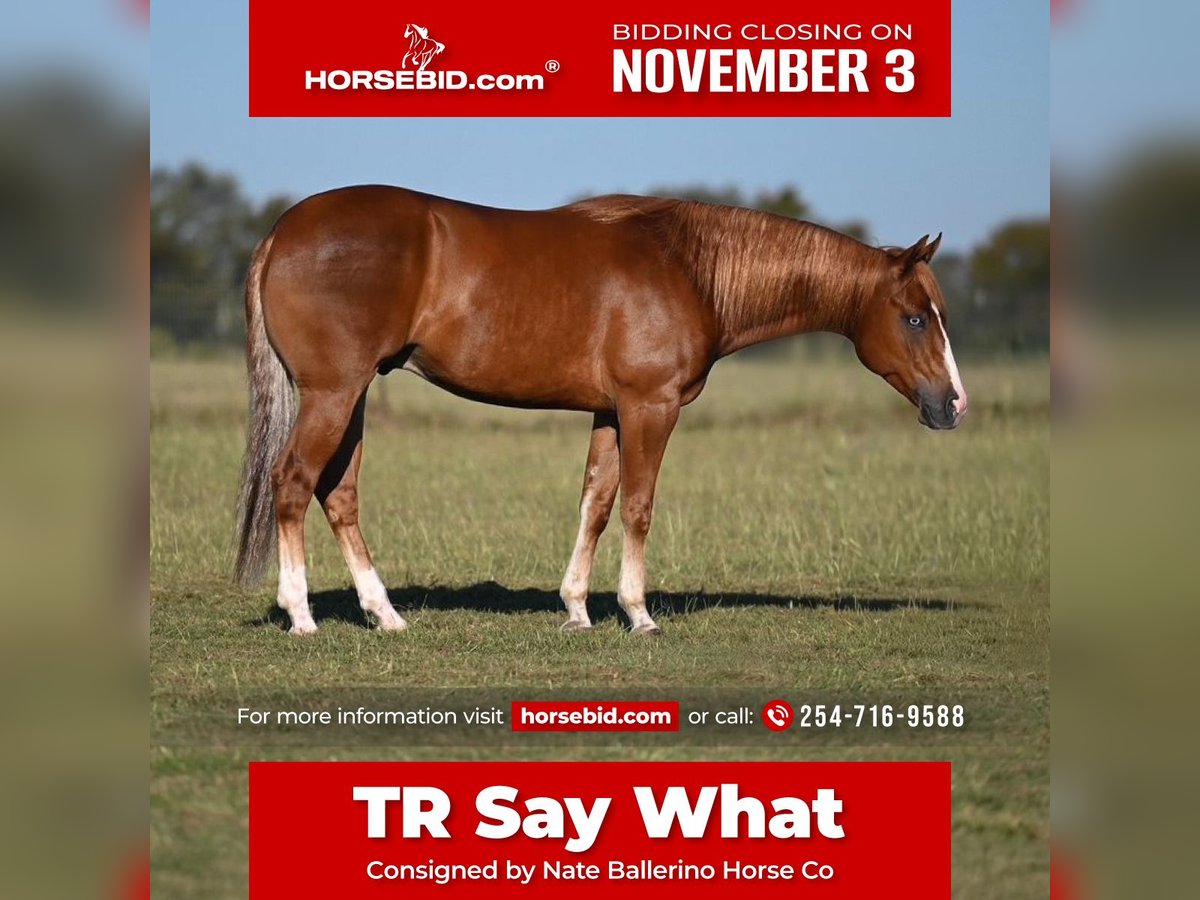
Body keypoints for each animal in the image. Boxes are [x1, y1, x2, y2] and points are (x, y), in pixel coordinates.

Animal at [234, 187, 967, 637]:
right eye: (914, 317)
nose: (953, 405)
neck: (689, 267)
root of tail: (281, 233)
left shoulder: (611, 414)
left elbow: (596, 503)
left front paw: (577, 610)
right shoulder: (650, 406)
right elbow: (639, 505)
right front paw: (639, 614)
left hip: (352, 396)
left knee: (339, 494)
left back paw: (385, 614)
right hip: (334, 393)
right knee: (293, 484)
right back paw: (301, 615)